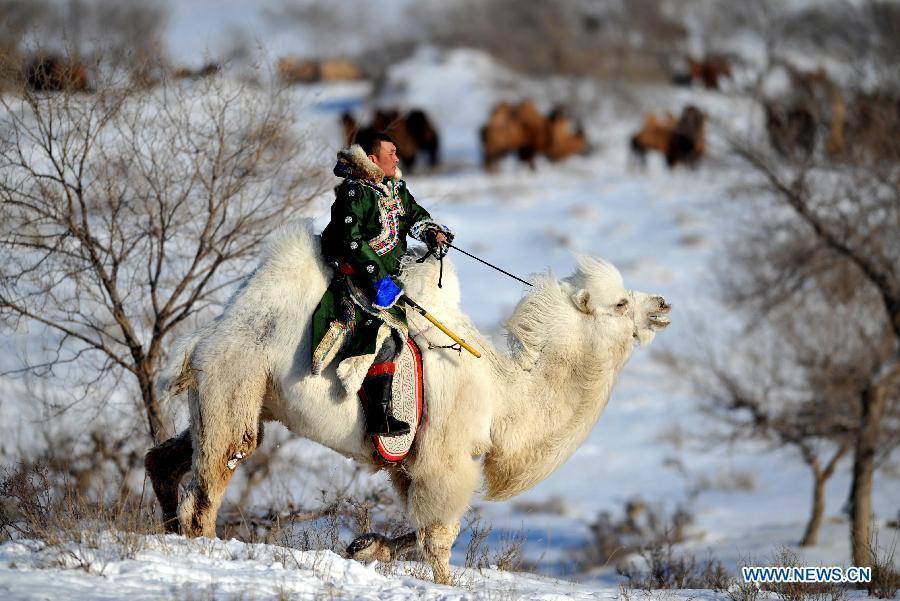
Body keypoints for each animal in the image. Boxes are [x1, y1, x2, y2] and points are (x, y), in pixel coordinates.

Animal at [146, 220, 668, 580]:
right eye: (620, 303)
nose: (663, 304)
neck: (502, 398)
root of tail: (203, 339)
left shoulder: (408, 465)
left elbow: (417, 532)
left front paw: (365, 547)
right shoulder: (445, 460)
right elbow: (439, 537)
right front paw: (444, 584)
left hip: (238, 398)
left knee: (167, 459)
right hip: (235, 380)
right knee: (211, 480)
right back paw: (206, 547)